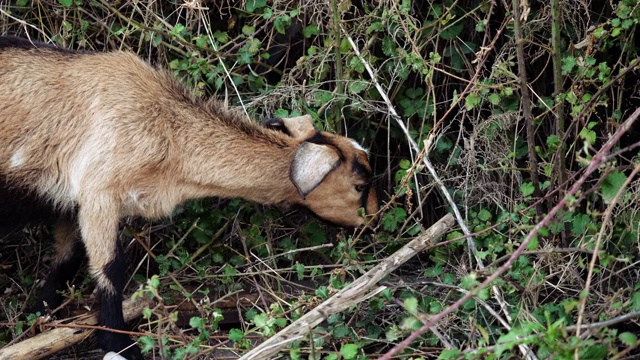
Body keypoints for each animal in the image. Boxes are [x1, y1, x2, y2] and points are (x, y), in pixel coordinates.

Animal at [0, 35, 378, 358]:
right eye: (359, 186)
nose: (373, 221)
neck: (167, 129)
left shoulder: (69, 199)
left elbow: (68, 258)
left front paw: (40, 314)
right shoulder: (99, 191)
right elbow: (110, 267)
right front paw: (119, 347)